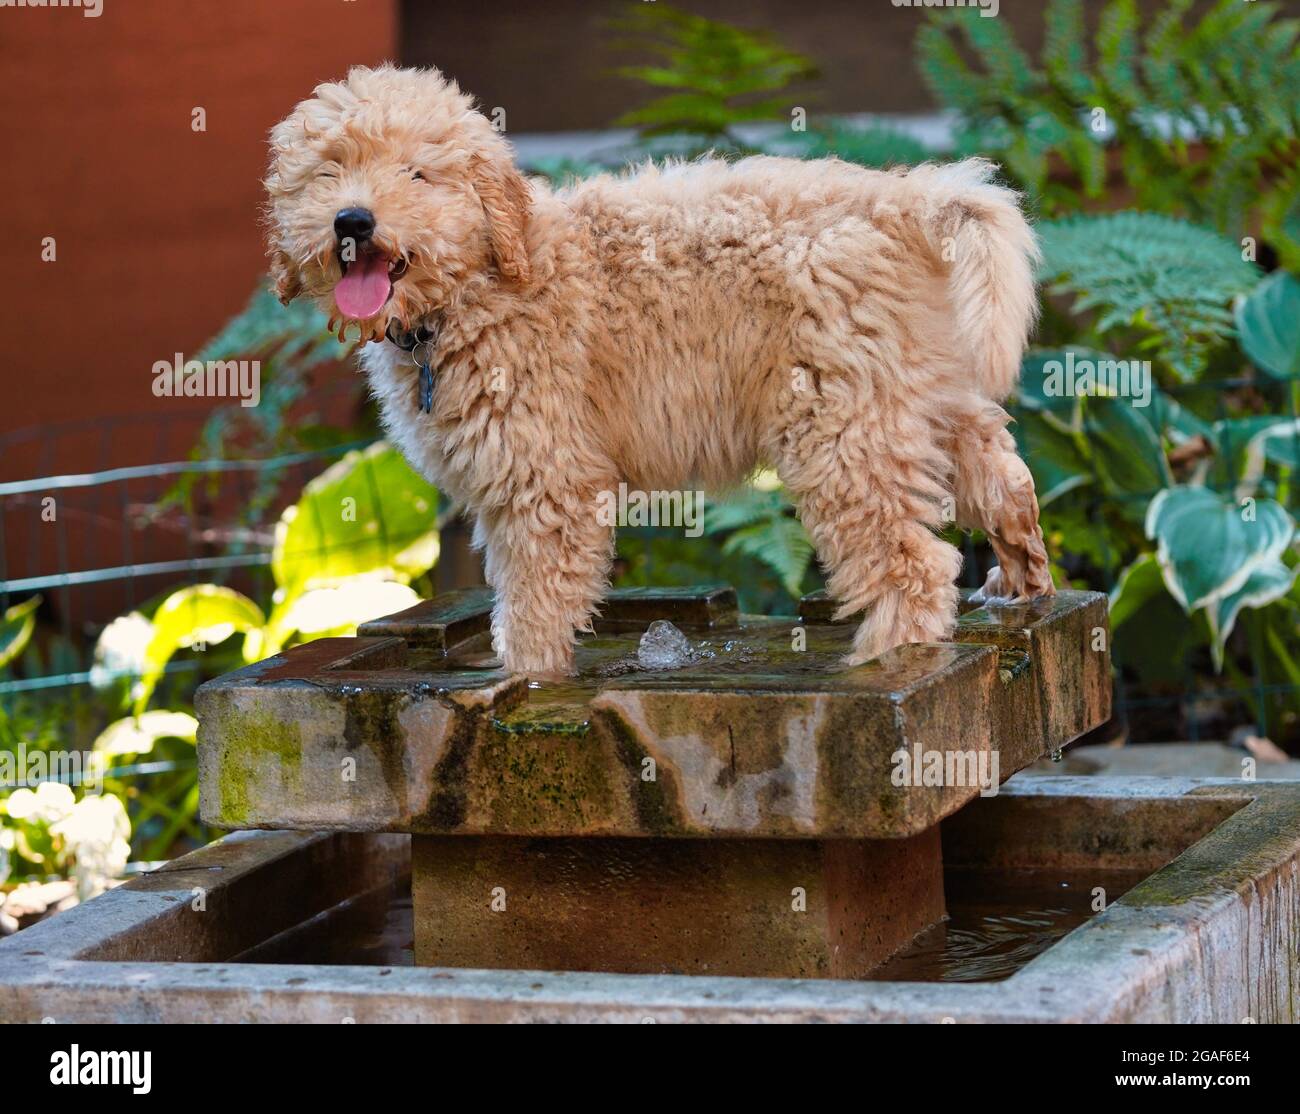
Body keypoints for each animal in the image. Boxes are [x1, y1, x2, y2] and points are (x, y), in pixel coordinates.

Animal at [266, 65, 1055, 675]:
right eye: (329, 170)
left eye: (417, 174)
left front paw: (523, 683)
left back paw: (889, 661)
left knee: (912, 561)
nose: (353, 221)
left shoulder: (546, 480)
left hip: (842, 425)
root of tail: (901, 198)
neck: (477, 289)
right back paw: (1022, 580)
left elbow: (533, 603)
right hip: (915, 390)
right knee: (1003, 473)